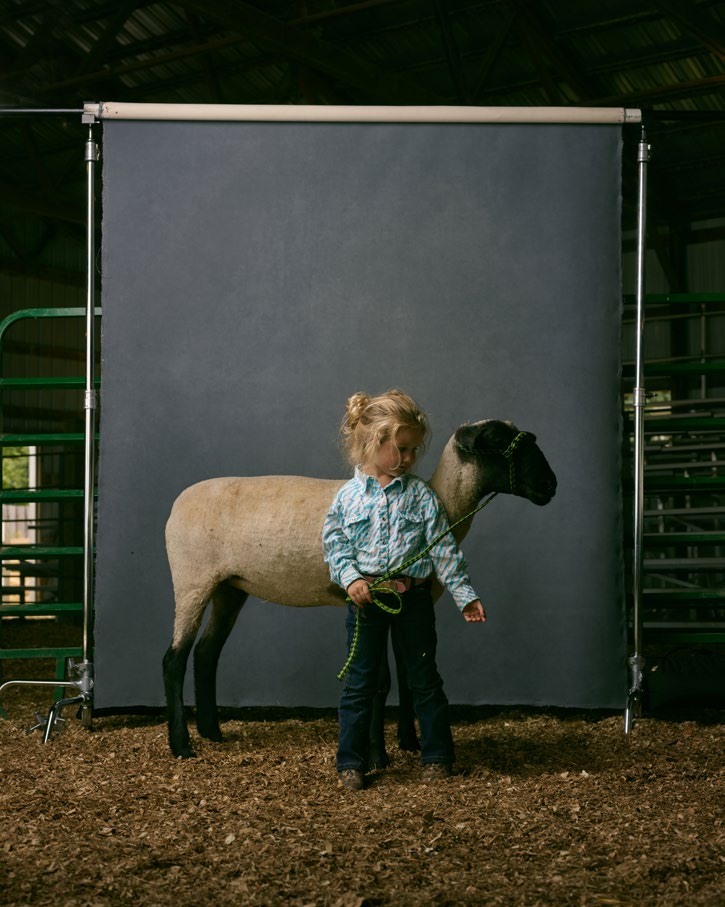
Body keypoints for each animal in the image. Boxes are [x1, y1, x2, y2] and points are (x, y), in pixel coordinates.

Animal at [163, 419, 557, 759]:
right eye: (497, 441)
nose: (550, 485)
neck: (444, 501)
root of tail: (176, 505)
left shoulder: (408, 607)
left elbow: (407, 676)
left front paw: (408, 743)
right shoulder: (377, 603)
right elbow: (381, 682)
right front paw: (377, 754)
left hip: (229, 587)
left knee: (206, 652)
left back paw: (212, 733)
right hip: (191, 580)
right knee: (174, 658)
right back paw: (182, 746)